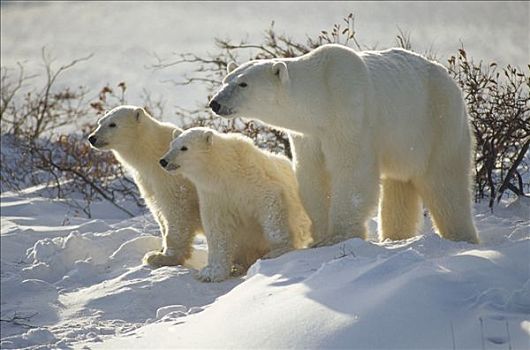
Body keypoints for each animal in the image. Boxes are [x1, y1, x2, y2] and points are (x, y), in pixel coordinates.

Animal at [207, 43, 478, 245]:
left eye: (243, 83)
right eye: (225, 80)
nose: (215, 103)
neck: (320, 97)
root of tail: (452, 82)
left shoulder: (349, 110)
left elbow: (351, 170)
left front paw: (340, 235)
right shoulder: (308, 135)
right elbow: (312, 175)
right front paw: (319, 235)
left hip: (438, 122)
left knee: (445, 183)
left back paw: (461, 236)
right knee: (399, 185)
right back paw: (395, 237)